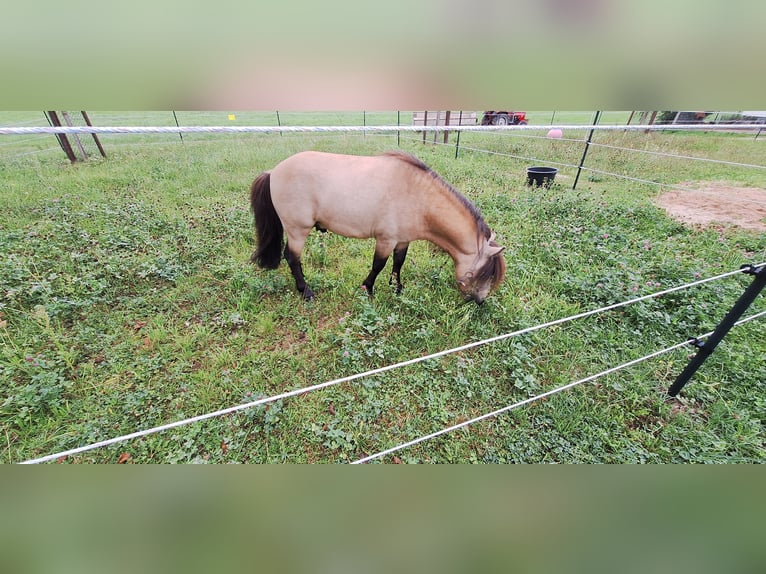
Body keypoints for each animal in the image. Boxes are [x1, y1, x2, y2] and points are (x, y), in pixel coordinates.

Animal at [249, 152, 508, 306]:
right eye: (484, 274)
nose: (480, 301)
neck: (418, 196)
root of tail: (274, 172)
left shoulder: (403, 240)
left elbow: (398, 263)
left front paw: (397, 288)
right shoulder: (386, 239)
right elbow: (378, 265)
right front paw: (368, 289)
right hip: (297, 230)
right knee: (292, 258)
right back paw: (306, 292)